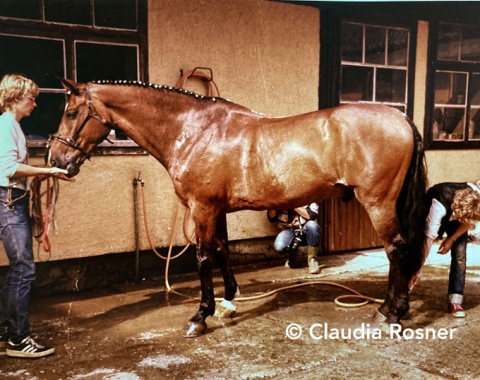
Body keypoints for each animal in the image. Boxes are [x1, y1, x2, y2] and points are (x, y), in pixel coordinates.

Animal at [47, 78, 428, 336]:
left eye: (71, 112)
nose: (57, 160)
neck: (194, 129)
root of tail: (401, 120)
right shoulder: (216, 210)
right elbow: (222, 250)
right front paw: (228, 302)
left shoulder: (201, 208)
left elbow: (203, 256)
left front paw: (200, 317)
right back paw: (392, 309)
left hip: (378, 203)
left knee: (397, 250)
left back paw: (390, 314)